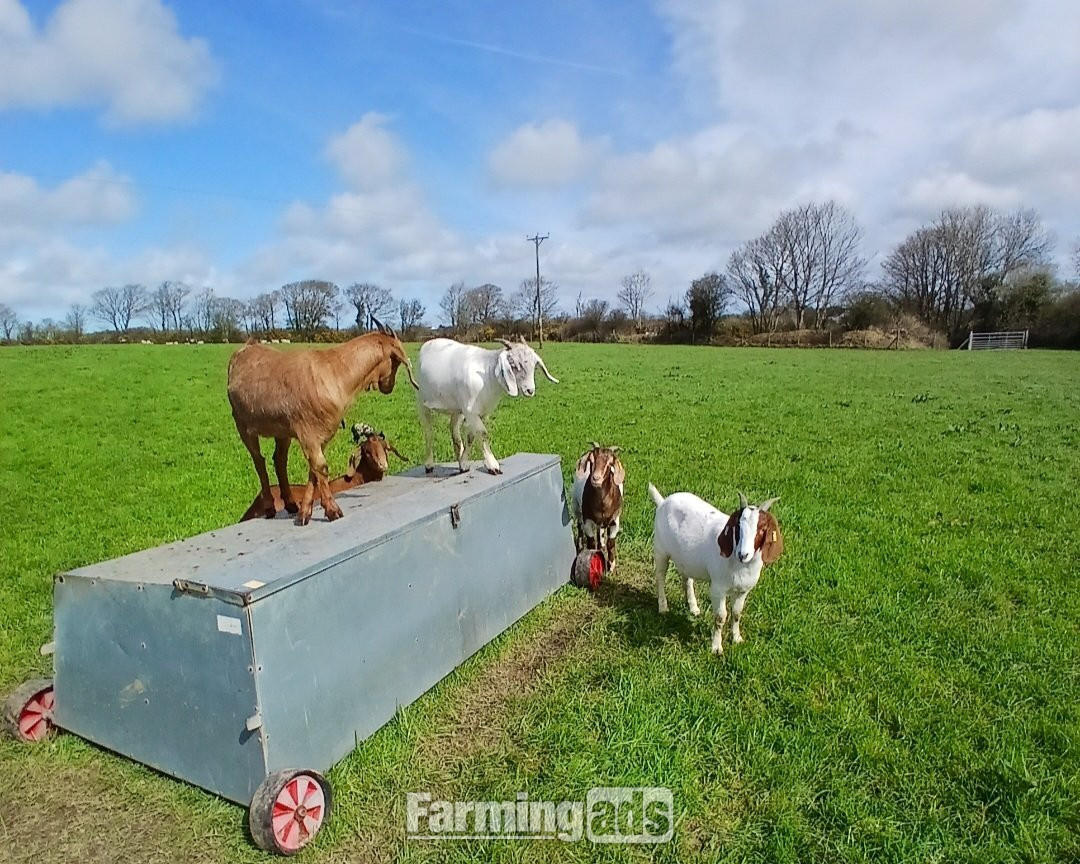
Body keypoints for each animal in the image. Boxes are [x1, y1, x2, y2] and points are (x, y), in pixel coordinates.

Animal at [415, 335, 558, 475]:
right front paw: (492, 465)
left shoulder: (482, 413)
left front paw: (464, 464)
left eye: (534, 366)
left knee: (454, 430)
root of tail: (429, 343)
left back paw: (459, 456)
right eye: (513, 364)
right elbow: (482, 433)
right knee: (429, 433)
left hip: (457, 409)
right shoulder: (470, 411)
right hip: (422, 402)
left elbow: (471, 437)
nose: (530, 390)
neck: (487, 375)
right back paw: (429, 464)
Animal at [648, 486, 783, 654]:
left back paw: (693, 607)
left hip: (687, 559)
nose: (743, 554)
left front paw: (737, 639)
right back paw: (663, 607)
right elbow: (720, 617)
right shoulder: (718, 588)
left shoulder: (743, 590)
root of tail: (663, 502)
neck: (739, 565)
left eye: (762, 529)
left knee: (687, 579)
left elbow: (737, 613)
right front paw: (716, 647)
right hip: (661, 550)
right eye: (738, 527)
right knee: (660, 576)